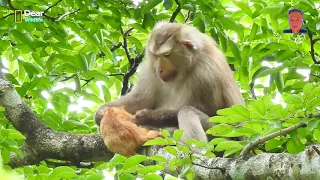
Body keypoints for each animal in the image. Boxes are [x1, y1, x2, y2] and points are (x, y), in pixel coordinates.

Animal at [96, 21, 244, 145]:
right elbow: (141, 99)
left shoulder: (207, 75)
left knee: (187, 111)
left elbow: (214, 112)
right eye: (156, 56)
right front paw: (101, 112)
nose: (160, 69)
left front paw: (145, 116)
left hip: (221, 136)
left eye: (166, 55)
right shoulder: (150, 69)